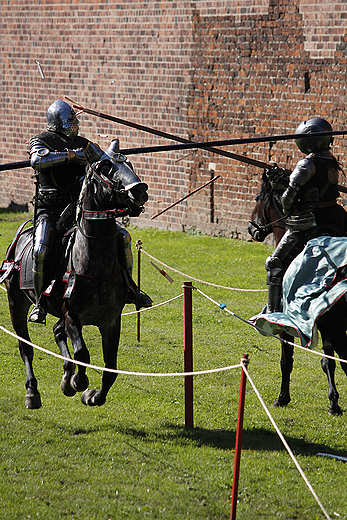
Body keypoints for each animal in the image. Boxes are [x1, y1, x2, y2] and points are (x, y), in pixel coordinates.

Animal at [1, 143, 148, 410]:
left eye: (129, 164)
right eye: (105, 167)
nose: (140, 191)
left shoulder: (111, 321)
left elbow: (111, 368)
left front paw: (92, 394)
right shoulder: (73, 316)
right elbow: (83, 354)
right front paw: (79, 382)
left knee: (57, 331)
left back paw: (65, 376)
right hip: (16, 302)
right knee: (26, 347)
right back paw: (33, 392)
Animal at [250, 173, 347, 416]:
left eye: (257, 198)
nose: (252, 228)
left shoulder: (291, 325)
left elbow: (286, 360)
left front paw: (282, 398)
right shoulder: (322, 323)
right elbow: (328, 362)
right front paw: (334, 403)